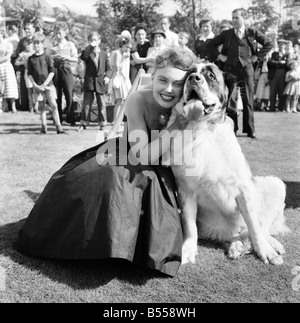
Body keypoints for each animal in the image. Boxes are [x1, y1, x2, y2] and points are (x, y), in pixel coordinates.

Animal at [163, 62, 290, 266]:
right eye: (190, 73)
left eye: (211, 76)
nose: (193, 79)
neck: (204, 129)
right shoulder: (186, 190)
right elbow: (190, 227)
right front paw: (188, 250)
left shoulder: (243, 189)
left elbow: (254, 226)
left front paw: (265, 251)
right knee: (239, 235)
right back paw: (236, 246)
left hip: (275, 184)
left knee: (260, 228)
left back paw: (270, 244)